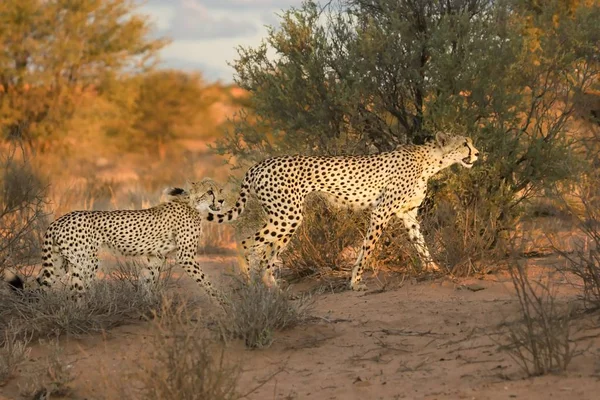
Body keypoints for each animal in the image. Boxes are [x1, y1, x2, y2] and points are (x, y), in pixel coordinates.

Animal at [4, 178, 227, 304]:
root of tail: (58, 219)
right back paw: (84, 314)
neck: (192, 205)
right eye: (210, 191)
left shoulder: (156, 256)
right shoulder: (185, 257)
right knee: (74, 292)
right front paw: (222, 301)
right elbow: (205, 280)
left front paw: (147, 304)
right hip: (87, 262)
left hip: (60, 264)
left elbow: (148, 280)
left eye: (221, 190)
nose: (222, 200)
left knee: (42, 285)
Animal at [209, 133, 480, 290]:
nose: (478, 153)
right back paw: (252, 285)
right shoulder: (381, 211)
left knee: (268, 253)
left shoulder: (408, 214)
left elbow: (421, 244)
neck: (430, 161)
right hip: (287, 216)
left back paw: (272, 286)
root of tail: (259, 164)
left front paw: (434, 269)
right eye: (464, 144)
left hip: (284, 218)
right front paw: (355, 281)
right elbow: (367, 248)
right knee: (248, 243)